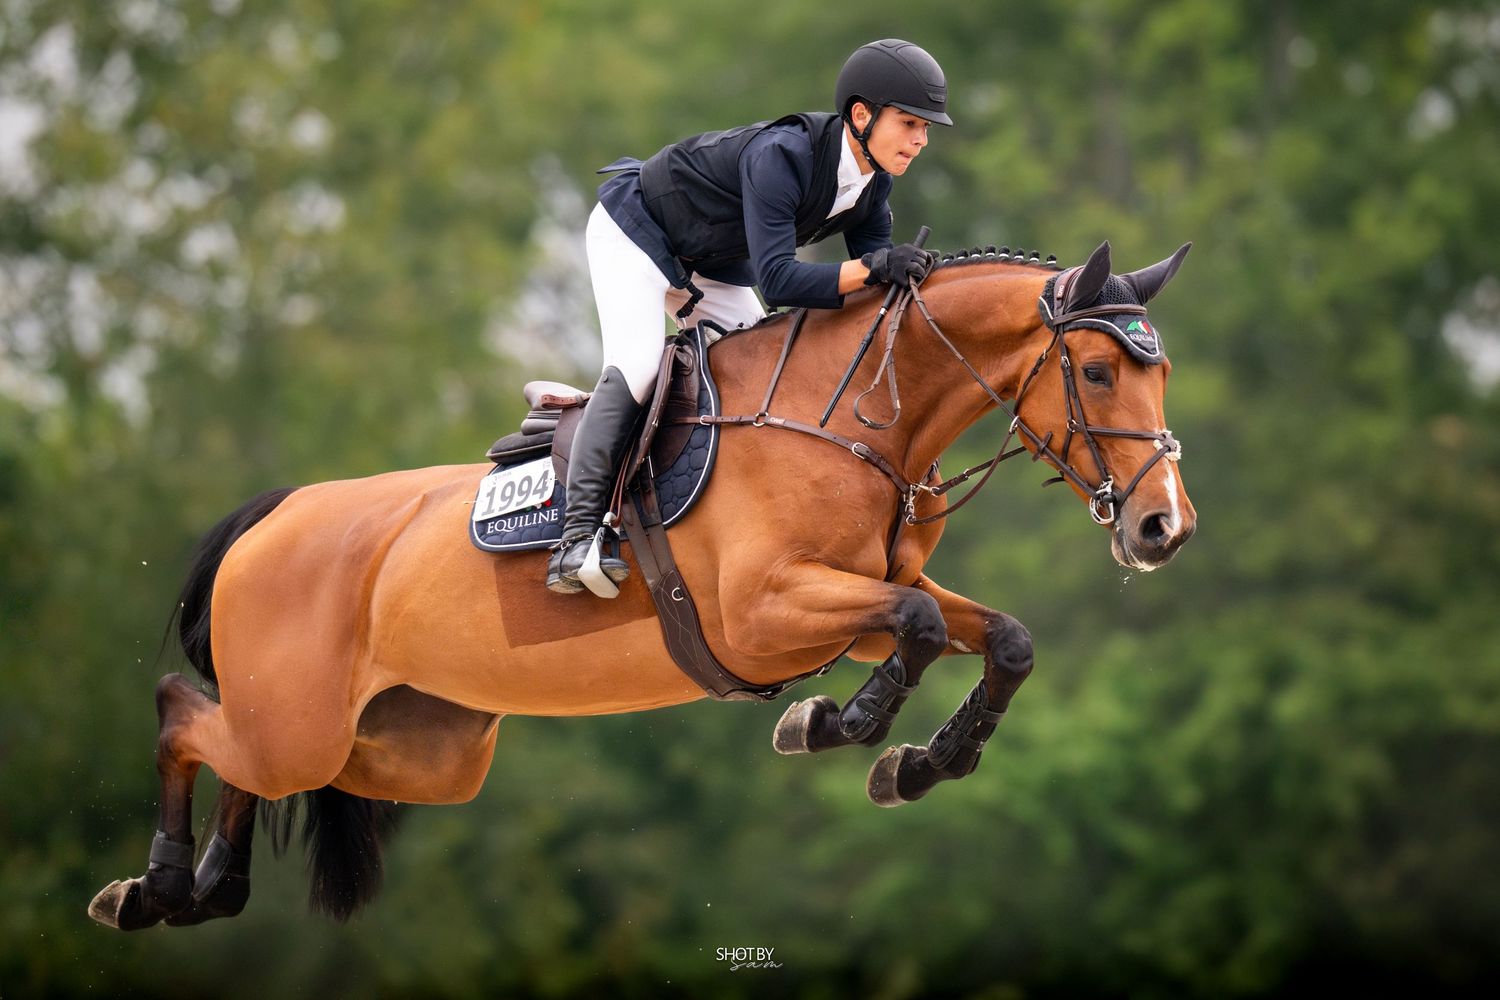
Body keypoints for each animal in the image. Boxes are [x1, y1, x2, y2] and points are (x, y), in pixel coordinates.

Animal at [88, 239, 1196, 930]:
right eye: (1099, 372)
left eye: (1164, 372)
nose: (1163, 528)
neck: (853, 419)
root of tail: (274, 515)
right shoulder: (766, 614)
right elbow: (922, 623)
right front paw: (834, 725)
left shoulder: (850, 604)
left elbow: (1001, 637)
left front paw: (917, 763)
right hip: (306, 724)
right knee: (181, 709)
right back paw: (157, 884)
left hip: (411, 751)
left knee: (237, 751)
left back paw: (200, 888)